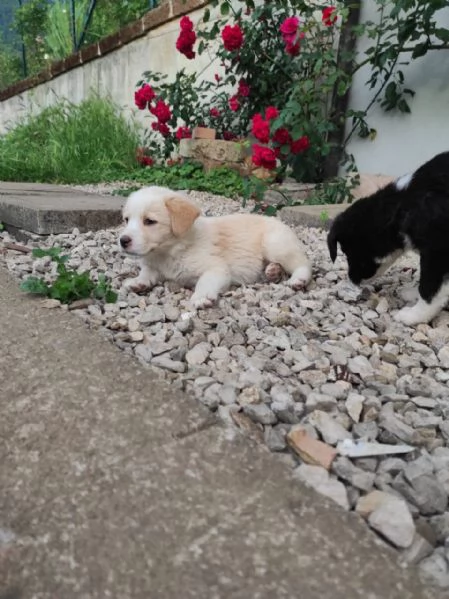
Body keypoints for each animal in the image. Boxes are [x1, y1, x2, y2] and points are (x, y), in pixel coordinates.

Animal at [117, 186, 310, 310]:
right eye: (126, 219)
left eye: (149, 221)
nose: (122, 241)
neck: (168, 252)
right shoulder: (154, 265)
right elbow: (147, 272)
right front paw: (138, 282)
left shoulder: (216, 269)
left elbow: (205, 281)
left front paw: (201, 297)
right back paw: (273, 271)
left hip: (275, 244)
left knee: (304, 263)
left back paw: (298, 279)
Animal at [326, 152, 448, 326]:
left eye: (348, 252)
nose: (352, 279)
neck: (402, 204)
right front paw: (412, 294)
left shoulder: (437, 252)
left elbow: (429, 288)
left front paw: (414, 315)